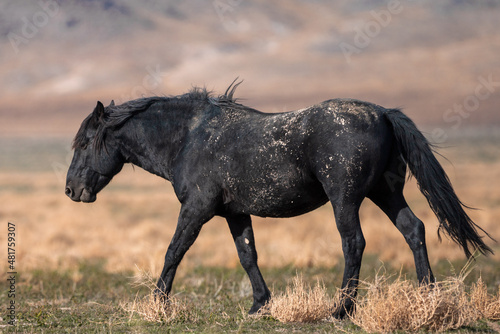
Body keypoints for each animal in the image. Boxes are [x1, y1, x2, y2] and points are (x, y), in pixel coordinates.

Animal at [65, 81, 492, 318]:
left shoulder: (197, 209)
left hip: (346, 199)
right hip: (385, 193)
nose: (71, 190)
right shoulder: (234, 213)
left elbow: (174, 251)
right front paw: (259, 304)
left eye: (85, 143)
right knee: (414, 229)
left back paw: (342, 309)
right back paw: (427, 296)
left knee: (354, 243)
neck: (189, 137)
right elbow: (248, 255)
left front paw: (157, 303)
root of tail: (383, 114)